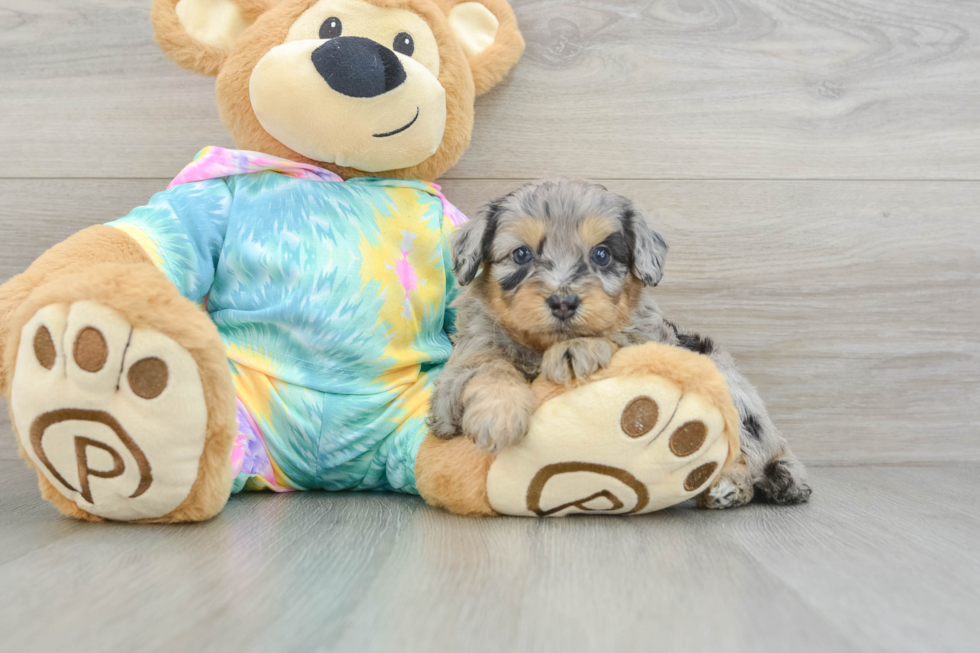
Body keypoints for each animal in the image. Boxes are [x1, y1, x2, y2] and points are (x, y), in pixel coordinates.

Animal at [428, 180, 812, 510]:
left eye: (601, 255)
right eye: (521, 255)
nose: (564, 302)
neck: (540, 347)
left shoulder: (652, 346)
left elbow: (617, 340)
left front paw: (579, 350)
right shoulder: (454, 381)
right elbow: (489, 365)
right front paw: (499, 415)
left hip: (725, 382)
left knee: (743, 451)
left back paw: (728, 484)